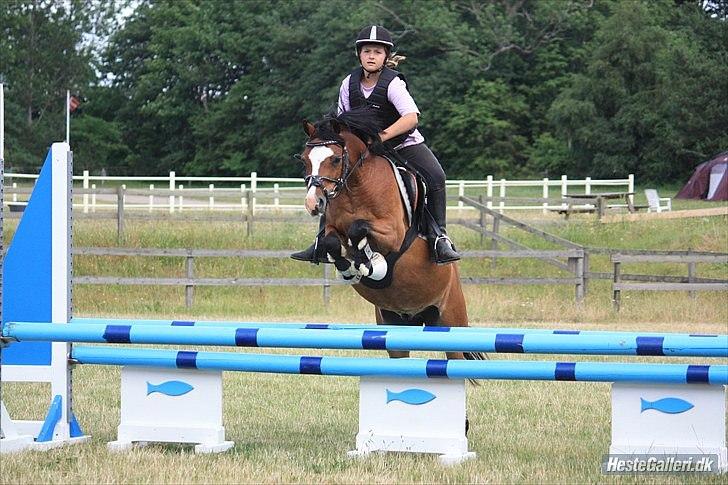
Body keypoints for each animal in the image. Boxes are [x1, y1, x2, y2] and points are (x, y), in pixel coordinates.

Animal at [297, 110, 483, 363]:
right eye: (304, 160)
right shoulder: (333, 227)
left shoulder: (393, 233)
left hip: (449, 319)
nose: (313, 203)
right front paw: (348, 268)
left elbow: (359, 229)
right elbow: (331, 240)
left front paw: (369, 262)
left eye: (335, 159)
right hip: (393, 324)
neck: (357, 186)